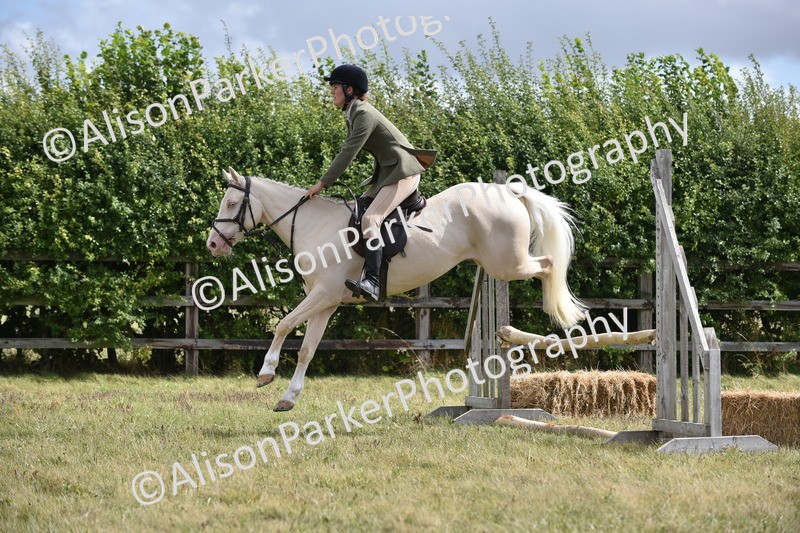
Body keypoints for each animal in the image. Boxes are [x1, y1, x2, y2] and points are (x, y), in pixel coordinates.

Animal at [206, 168, 585, 411]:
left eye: (230, 204)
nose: (212, 244)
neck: (314, 224)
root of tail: (507, 192)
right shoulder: (326, 302)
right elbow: (307, 350)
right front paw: (288, 397)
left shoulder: (322, 295)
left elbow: (283, 325)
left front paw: (265, 373)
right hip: (498, 263)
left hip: (508, 264)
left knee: (548, 263)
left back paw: (554, 314)